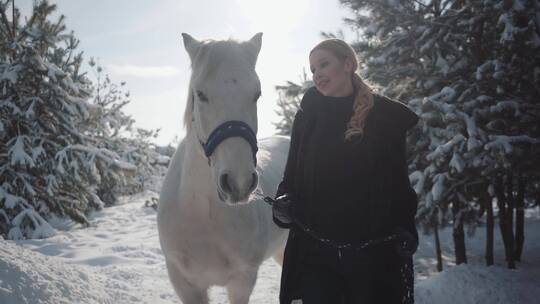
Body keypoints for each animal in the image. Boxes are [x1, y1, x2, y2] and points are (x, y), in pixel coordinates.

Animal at [156, 33, 288, 304]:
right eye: (200, 94)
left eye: (257, 94)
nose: (239, 182)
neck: (202, 214)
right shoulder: (185, 285)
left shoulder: (242, 281)